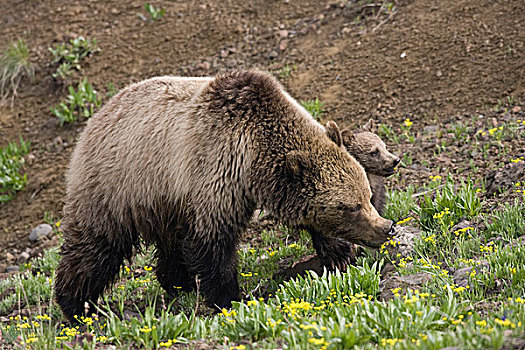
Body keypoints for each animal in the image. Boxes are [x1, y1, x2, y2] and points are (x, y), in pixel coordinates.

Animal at [56, 69, 392, 322]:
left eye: (365, 195)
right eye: (350, 207)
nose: (385, 227)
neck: (253, 158)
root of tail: (96, 116)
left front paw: (339, 255)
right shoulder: (215, 170)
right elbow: (213, 242)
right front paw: (229, 298)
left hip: (164, 200)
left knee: (169, 244)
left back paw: (178, 284)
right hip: (116, 186)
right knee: (95, 247)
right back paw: (78, 306)